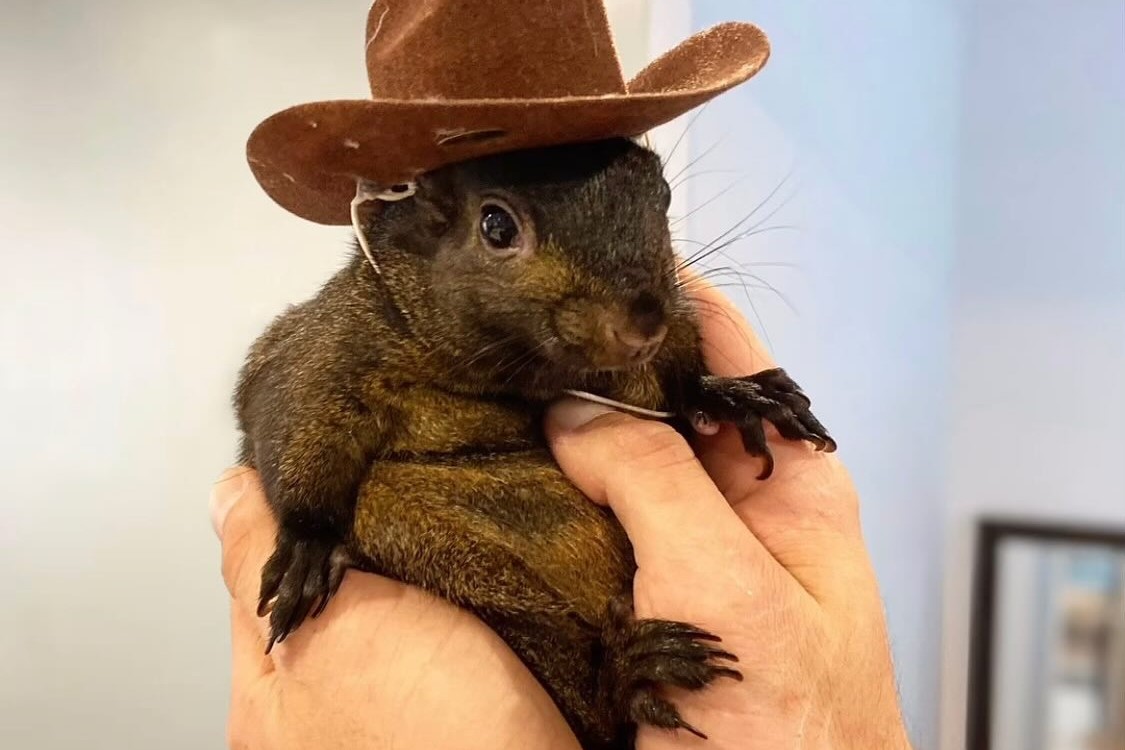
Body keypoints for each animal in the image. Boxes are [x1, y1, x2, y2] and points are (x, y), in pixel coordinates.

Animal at [234, 136, 835, 749]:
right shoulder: (326, 348)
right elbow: (293, 420)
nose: (643, 323)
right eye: (496, 226)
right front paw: (306, 544)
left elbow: (680, 385)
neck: (521, 375)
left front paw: (735, 395)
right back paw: (625, 675)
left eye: (663, 195)